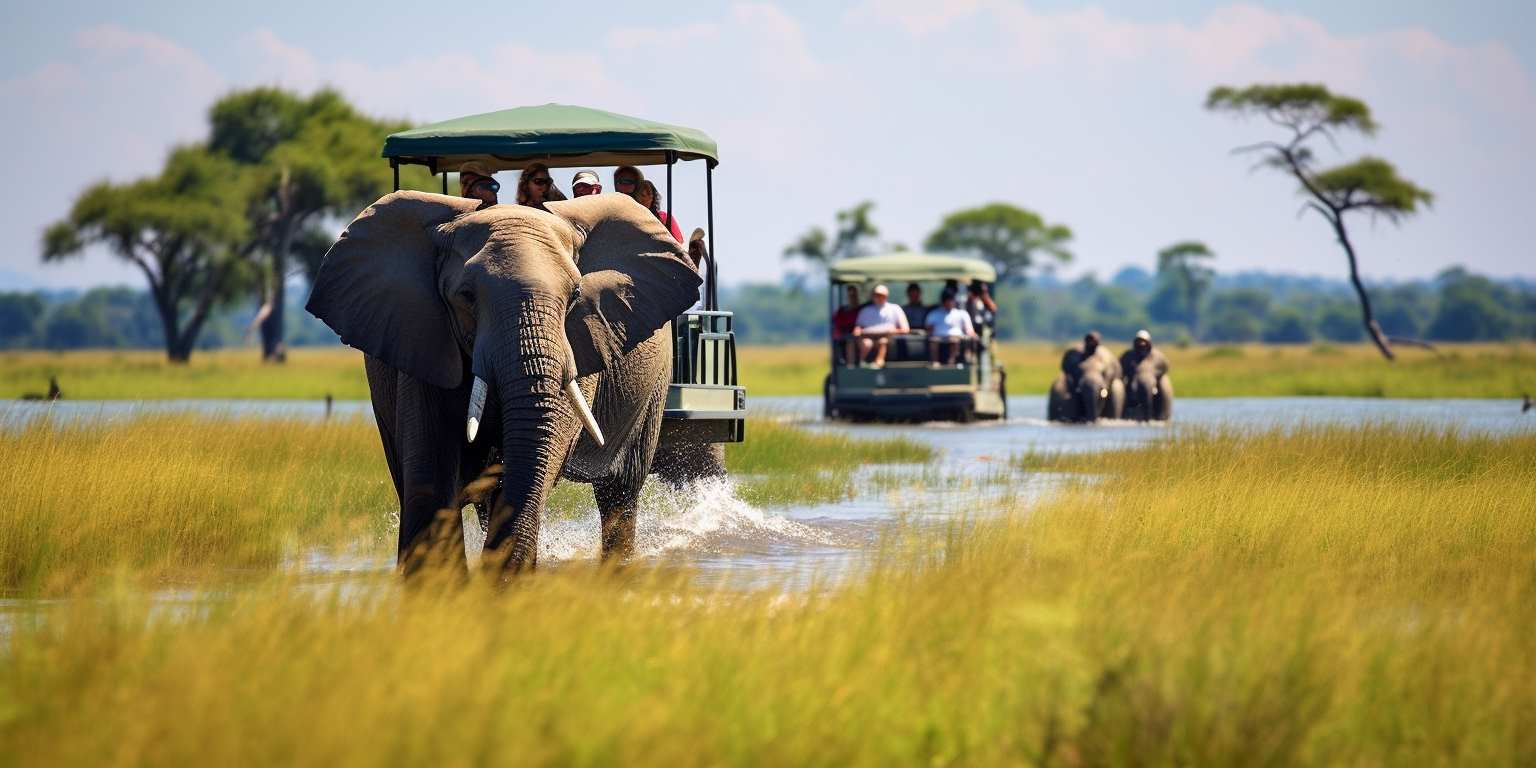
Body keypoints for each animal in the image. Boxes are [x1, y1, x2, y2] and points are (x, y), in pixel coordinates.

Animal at [305, 192, 703, 577]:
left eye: (575, 295)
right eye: (466, 296)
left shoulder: (585, 337)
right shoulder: (421, 337)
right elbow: (431, 466)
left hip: (653, 393)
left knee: (619, 493)